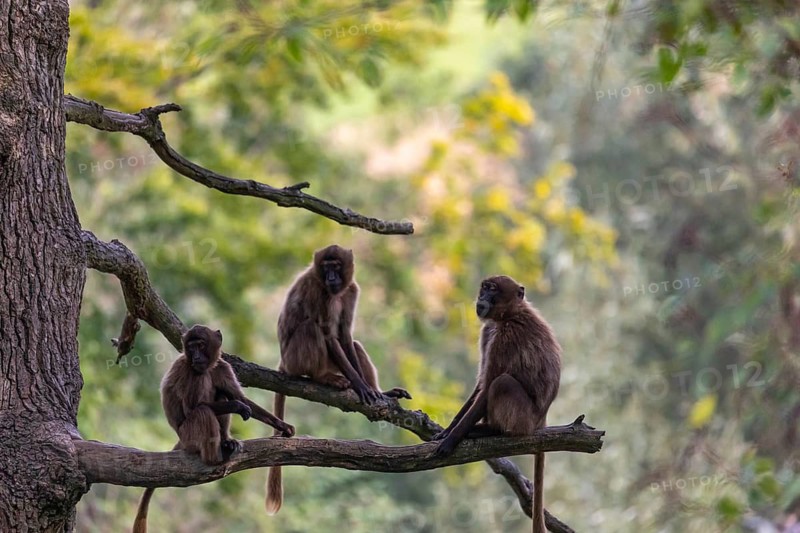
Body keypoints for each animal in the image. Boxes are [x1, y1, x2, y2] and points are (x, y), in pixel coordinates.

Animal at [133, 325, 295, 533]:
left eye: (200, 345)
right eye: (191, 347)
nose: (196, 357)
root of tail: (180, 437)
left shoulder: (222, 367)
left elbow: (239, 396)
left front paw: (282, 425)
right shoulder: (192, 371)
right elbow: (196, 407)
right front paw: (237, 407)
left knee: (220, 394)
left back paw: (226, 441)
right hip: (188, 435)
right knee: (203, 411)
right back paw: (214, 458)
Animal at [266, 244, 411, 514]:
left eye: (336, 266)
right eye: (326, 268)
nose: (332, 278)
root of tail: (283, 361)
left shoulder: (351, 290)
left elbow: (345, 336)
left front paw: (370, 388)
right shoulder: (318, 290)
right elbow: (328, 333)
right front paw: (359, 384)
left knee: (354, 344)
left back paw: (380, 391)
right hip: (294, 359)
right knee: (311, 327)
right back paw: (322, 378)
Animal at [431, 275, 561, 533]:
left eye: (492, 290)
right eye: (483, 289)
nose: (481, 298)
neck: (510, 315)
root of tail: (541, 420)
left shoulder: (505, 337)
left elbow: (489, 383)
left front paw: (451, 440)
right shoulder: (488, 330)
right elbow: (481, 384)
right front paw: (448, 431)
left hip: (525, 417)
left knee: (502, 382)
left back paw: (493, 430)